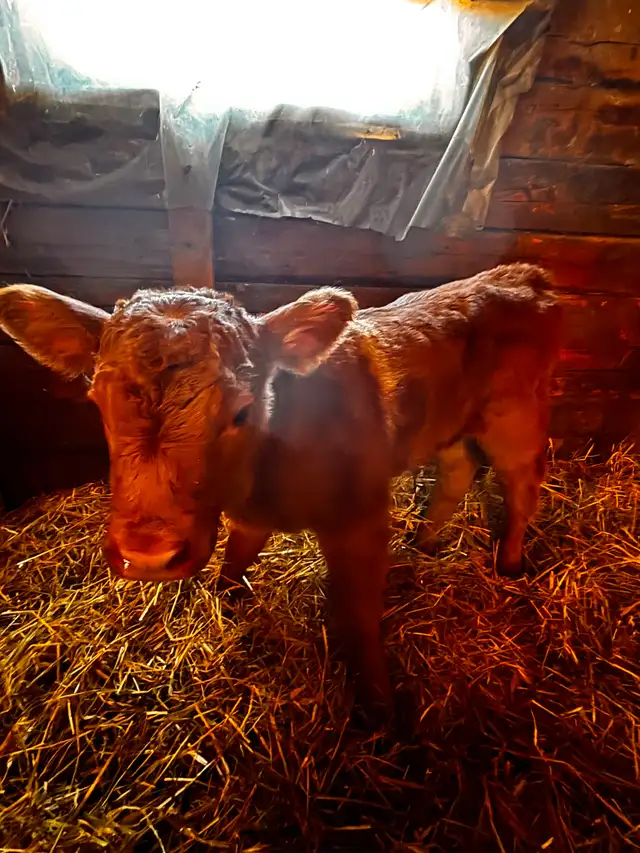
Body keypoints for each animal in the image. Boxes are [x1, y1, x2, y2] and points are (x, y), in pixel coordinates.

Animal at [0, 263, 563, 720]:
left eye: (242, 411)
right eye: (98, 401)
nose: (147, 555)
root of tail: (523, 275)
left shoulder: (362, 516)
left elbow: (360, 615)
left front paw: (379, 705)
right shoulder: (251, 515)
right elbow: (234, 563)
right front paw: (224, 601)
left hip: (516, 419)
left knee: (522, 484)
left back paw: (510, 561)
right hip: (451, 423)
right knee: (459, 468)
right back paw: (422, 543)